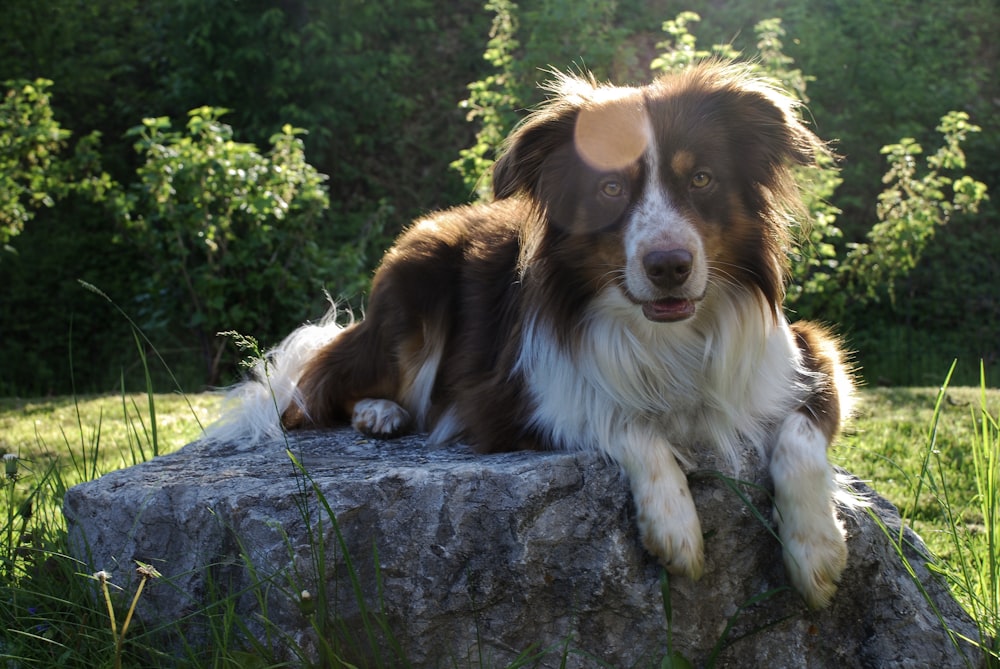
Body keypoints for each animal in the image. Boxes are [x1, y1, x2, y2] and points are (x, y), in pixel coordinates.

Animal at [207, 64, 856, 612]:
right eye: (611, 189)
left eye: (701, 178)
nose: (669, 266)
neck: (663, 333)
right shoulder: (507, 397)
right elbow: (625, 420)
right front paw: (674, 522)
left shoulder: (808, 352)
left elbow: (800, 433)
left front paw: (817, 549)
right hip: (415, 293)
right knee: (317, 389)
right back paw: (379, 412)